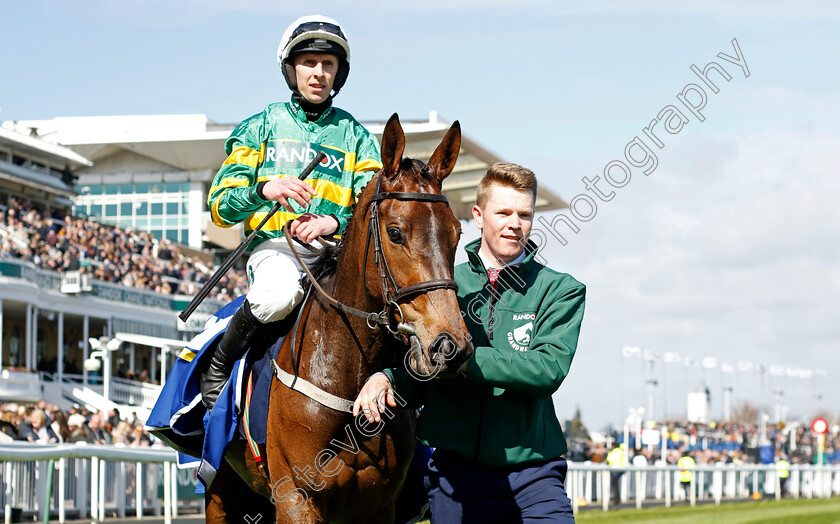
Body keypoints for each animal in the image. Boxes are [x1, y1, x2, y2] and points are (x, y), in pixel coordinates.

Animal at [206, 112, 472, 520]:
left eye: (456, 233)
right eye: (395, 233)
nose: (449, 345)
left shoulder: (379, 505)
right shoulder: (296, 496)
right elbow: (223, 192)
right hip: (220, 484)